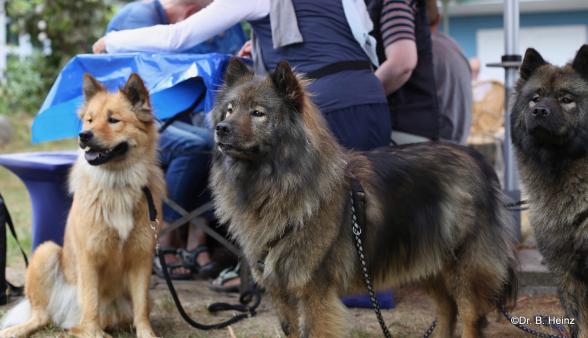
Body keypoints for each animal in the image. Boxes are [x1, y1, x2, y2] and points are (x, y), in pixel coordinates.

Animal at [210, 58, 516, 338]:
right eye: (230, 109)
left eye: (258, 113)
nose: (221, 128)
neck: (273, 182)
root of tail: (477, 158)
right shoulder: (280, 292)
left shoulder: (314, 292)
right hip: (428, 260)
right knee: (446, 310)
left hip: (463, 268)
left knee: (469, 317)